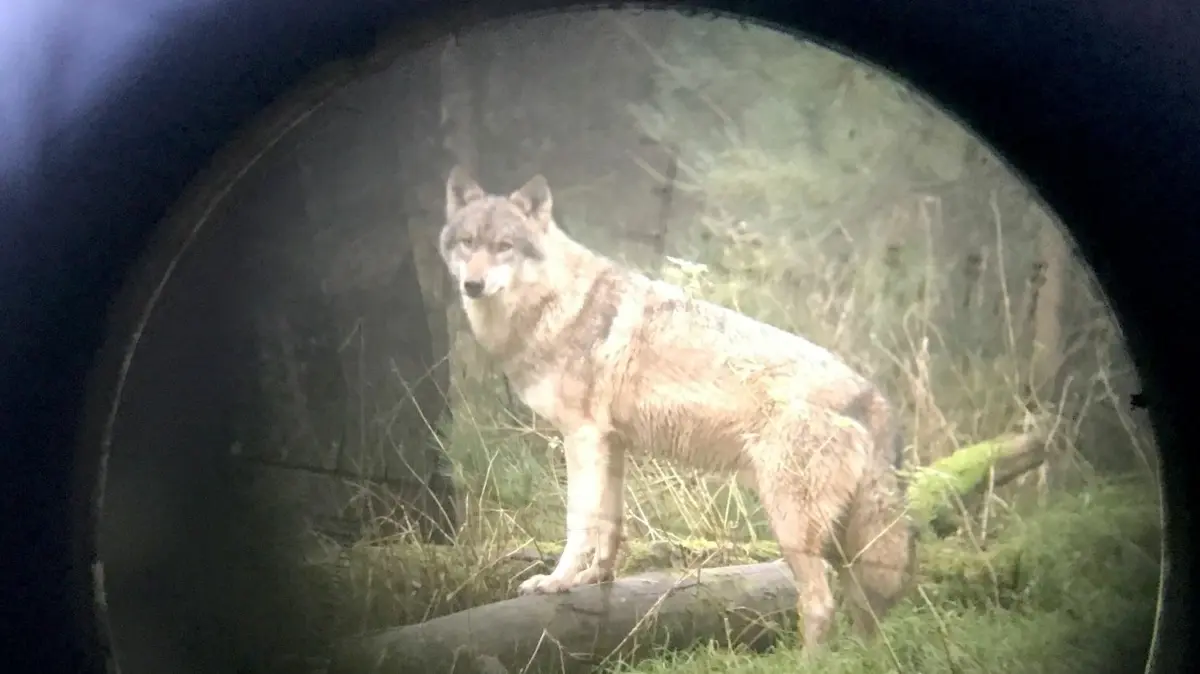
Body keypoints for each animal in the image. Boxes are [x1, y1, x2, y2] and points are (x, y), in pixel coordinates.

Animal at [437, 166, 916, 650]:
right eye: (468, 243)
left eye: (504, 246)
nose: (472, 285)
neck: (556, 304)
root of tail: (872, 395)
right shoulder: (612, 444)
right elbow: (611, 523)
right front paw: (596, 578)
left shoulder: (582, 437)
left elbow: (580, 523)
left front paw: (557, 582)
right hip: (840, 545)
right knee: (865, 612)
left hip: (793, 528)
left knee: (821, 606)